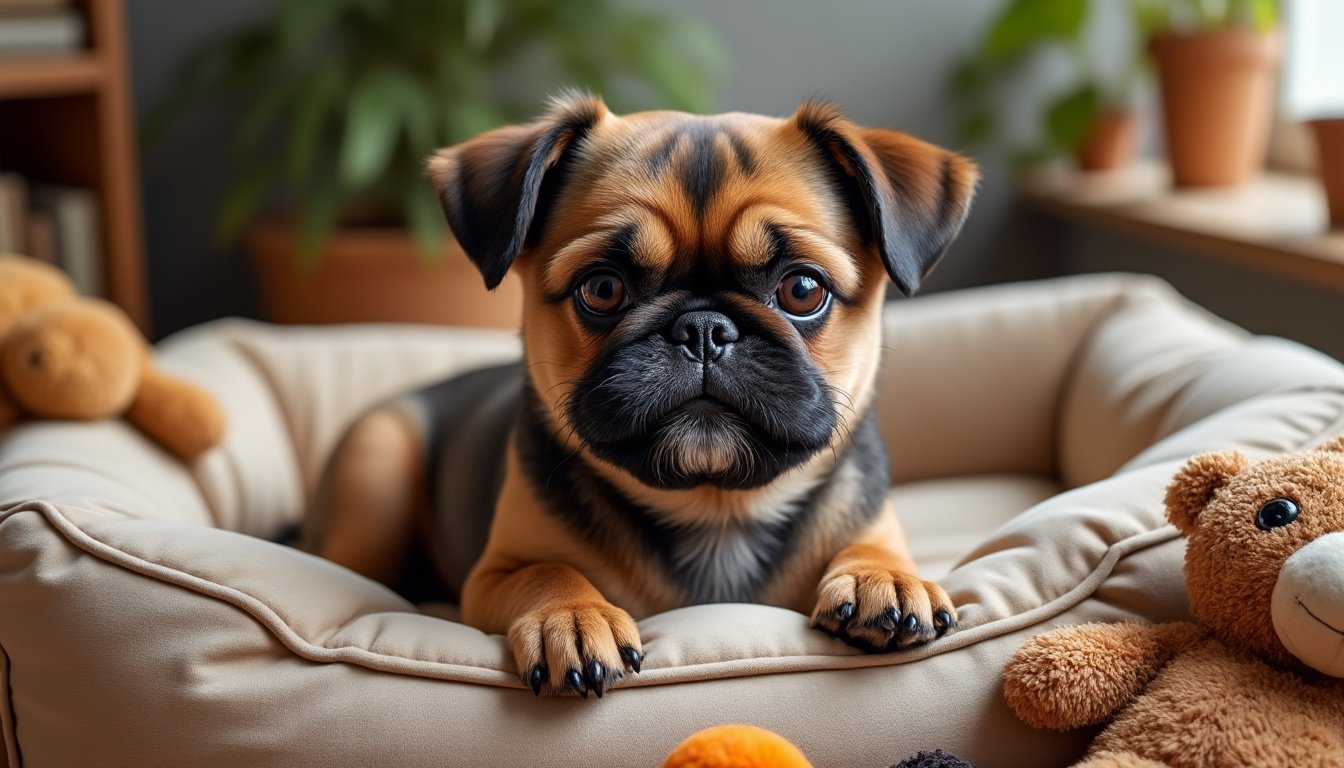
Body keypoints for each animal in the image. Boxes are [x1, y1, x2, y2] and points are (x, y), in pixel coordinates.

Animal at [305, 93, 978, 699]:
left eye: (803, 290)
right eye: (602, 289)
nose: (703, 329)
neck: (715, 508)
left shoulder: (874, 521)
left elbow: (872, 545)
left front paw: (883, 577)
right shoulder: (493, 575)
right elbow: (547, 570)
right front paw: (571, 617)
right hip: (376, 475)